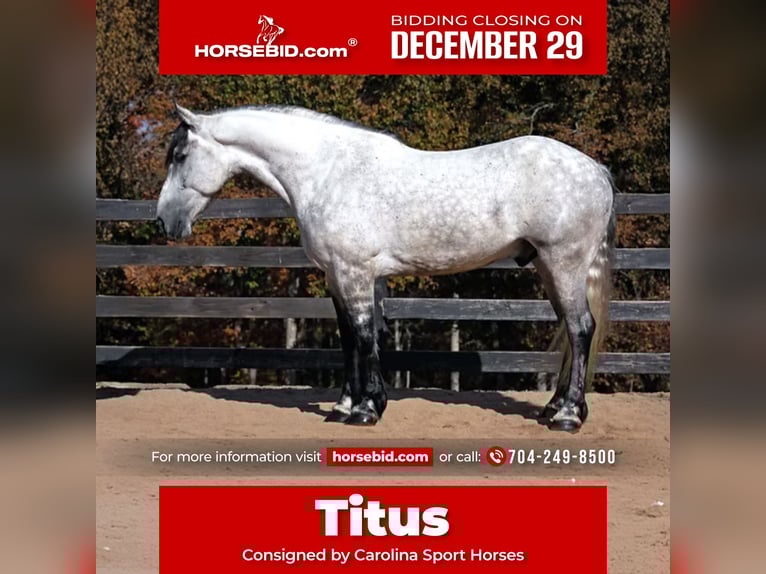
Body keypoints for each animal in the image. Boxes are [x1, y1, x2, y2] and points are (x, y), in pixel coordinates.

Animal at [157, 104, 615, 431]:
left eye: (180, 155)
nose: (164, 220)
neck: (328, 172)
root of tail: (595, 169)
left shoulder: (355, 272)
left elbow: (362, 336)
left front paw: (366, 411)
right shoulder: (337, 276)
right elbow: (350, 339)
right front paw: (345, 406)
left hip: (564, 263)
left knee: (580, 329)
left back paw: (568, 417)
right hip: (549, 268)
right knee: (571, 330)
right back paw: (553, 408)